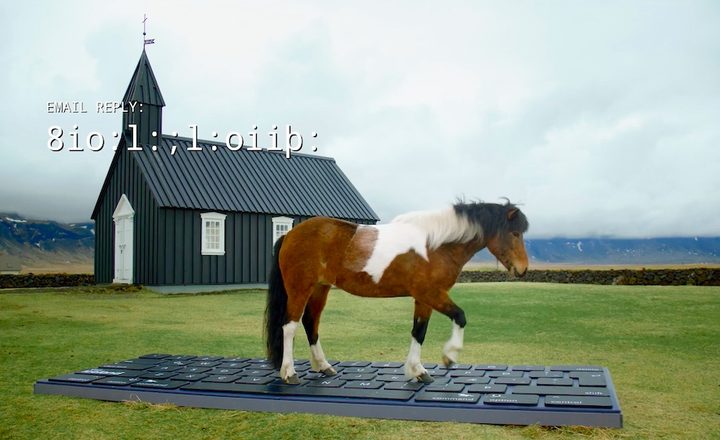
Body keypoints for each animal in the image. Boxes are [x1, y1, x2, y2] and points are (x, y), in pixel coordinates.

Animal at [264, 200, 529, 384]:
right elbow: (460, 317)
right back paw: (289, 372)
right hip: (300, 289)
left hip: (320, 289)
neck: (435, 245)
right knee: (290, 326)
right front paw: (449, 356)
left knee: (311, 323)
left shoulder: (424, 299)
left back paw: (323, 366)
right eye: (515, 233)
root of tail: (289, 234)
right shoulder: (432, 294)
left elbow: (419, 332)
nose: (523, 269)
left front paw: (418, 370)